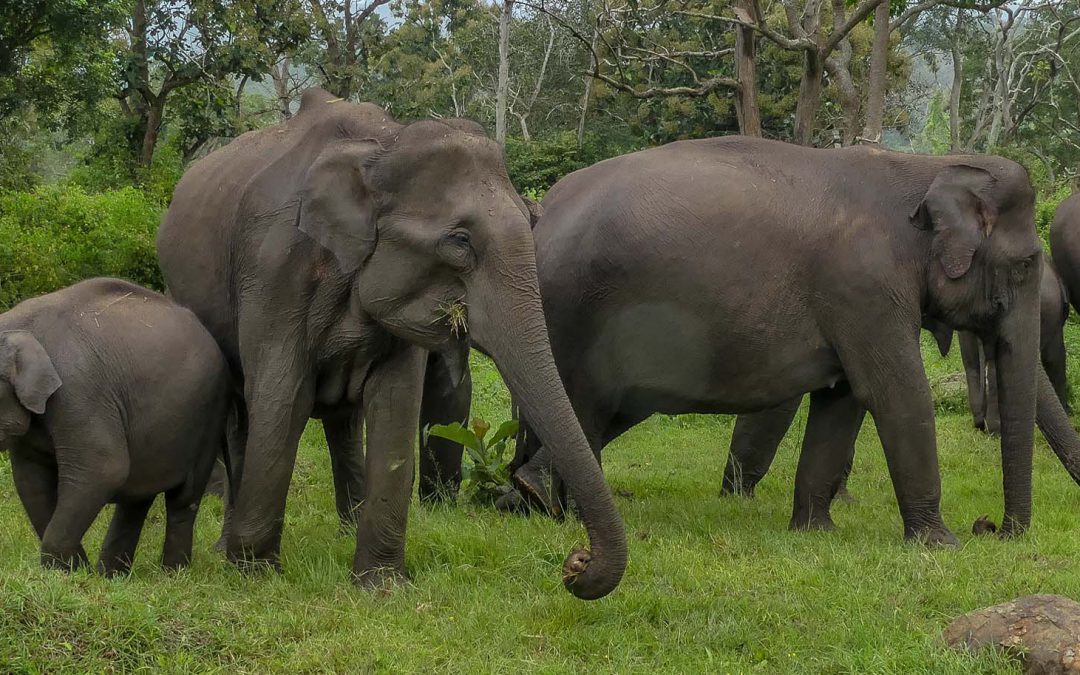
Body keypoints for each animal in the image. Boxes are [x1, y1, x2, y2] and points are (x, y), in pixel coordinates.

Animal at [0, 278, 230, 575]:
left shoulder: (78, 390)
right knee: (137, 499)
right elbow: (30, 479)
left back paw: (171, 573)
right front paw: (72, 570)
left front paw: (70, 573)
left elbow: (104, 467)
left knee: (182, 498)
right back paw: (111, 575)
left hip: (210, 409)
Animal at [156, 88, 626, 599]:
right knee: (242, 416)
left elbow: (395, 405)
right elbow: (284, 397)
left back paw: (345, 530)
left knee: (341, 419)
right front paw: (255, 575)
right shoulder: (272, 271)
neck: (383, 144)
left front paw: (380, 588)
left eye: (531, 219)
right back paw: (228, 549)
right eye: (460, 241)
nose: (575, 562)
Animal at [424, 136, 1080, 543]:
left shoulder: (854, 303)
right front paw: (939, 544)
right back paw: (541, 498)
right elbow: (895, 393)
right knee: (582, 408)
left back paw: (523, 501)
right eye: (1026, 265)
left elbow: (842, 401)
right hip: (572, 314)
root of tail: (541, 211)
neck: (926, 166)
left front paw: (816, 532)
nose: (996, 529)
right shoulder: (864, 287)